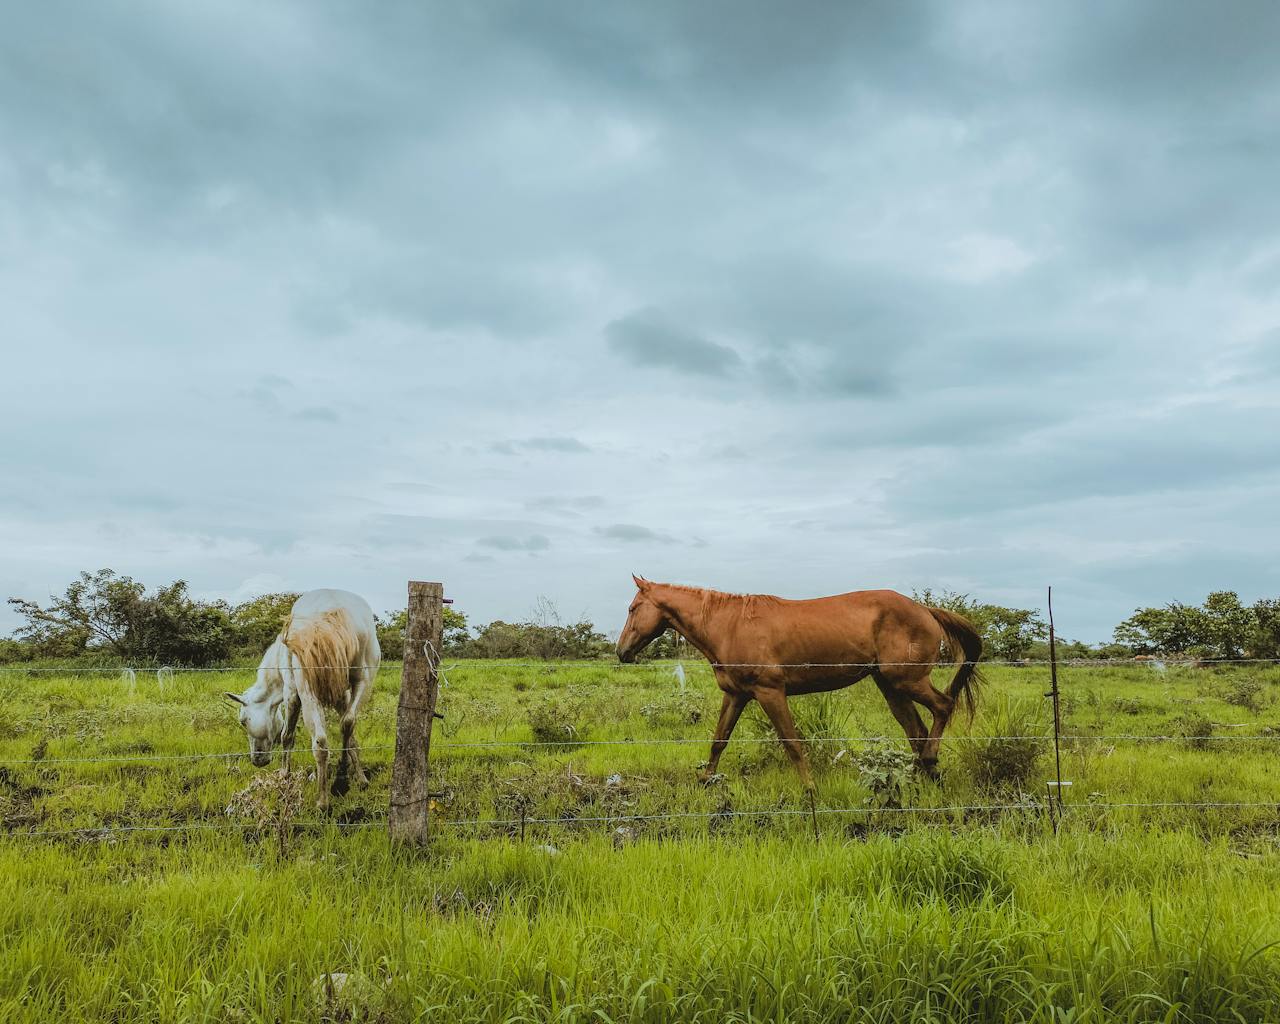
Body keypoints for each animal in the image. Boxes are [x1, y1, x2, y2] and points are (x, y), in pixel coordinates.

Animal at [226, 589, 381, 810]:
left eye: (243, 721)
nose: (257, 760)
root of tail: (334, 609)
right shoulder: (341, 697)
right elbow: (351, 739)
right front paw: (361, 779)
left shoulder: (291, 693)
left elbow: (287, 736)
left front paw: (284, 777)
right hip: (363, 681)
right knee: (348, 723)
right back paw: (341, 782)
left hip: (308, 694)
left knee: (321, 742)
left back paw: (323, 802)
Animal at [616, 576, 983, 788]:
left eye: (633, 608)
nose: (621, 651)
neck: (729, 625)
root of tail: (926, 610)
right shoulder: (736, 695)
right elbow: (719, 740)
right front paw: (706, 782)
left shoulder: (770, 692)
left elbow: (792, 743)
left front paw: (810, 789)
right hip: (892, 687)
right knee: (915, 730)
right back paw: (923, 778)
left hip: (907, 680)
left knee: (943, 707)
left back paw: (931, 763)